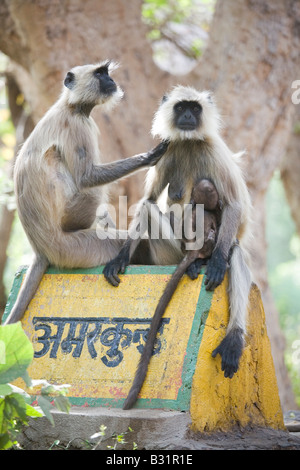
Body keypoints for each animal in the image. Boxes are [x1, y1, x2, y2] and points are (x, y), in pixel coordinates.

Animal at [3, 61, 169, 326]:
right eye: (100, 73)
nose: (111, 80)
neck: (71, 106)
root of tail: (40, 249)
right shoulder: (77, 125)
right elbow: (87, 178)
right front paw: (151, 155)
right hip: (74, 246)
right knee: (94, 193)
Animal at [104, 86, 252, 394]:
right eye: (181, 107)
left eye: (195, 109)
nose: (187, 117)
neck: (189, 143)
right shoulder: (169, 150)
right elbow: (148, 199)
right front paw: (121, 257)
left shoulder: (213, 150)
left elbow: (233, 205)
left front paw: (217, 263)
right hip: (171, 253)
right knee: (150, 208)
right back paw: (193, 265)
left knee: (234, 253)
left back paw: (233, 334)